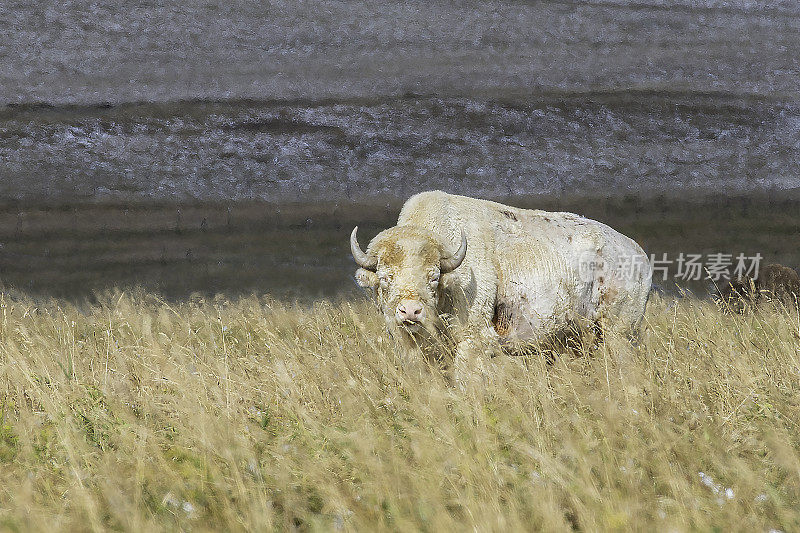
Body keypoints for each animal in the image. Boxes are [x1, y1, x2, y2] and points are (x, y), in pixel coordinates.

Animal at [354, 191, 652, 378]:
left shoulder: (473, 340)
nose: (411, 312)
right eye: (385, 276)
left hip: (619, 334)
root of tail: (639, 254)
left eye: (433, 276)